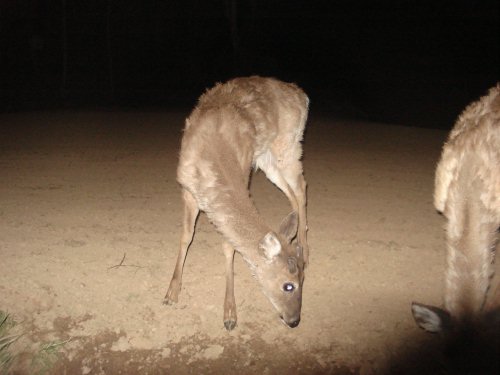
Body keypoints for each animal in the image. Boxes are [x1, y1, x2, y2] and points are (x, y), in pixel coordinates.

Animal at [164, 77, 308, 332]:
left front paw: (229, 314)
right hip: (270, 160)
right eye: (289, 285)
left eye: (303, 279)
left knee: (300, 188)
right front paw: (172, 292)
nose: (294, 321)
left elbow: (229, 246)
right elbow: (186, 236)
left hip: (288, 145)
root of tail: (302, 96)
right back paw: (298, 239)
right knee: (295, 192)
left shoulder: (243, 172)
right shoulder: (187, 189)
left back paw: (306, 247)